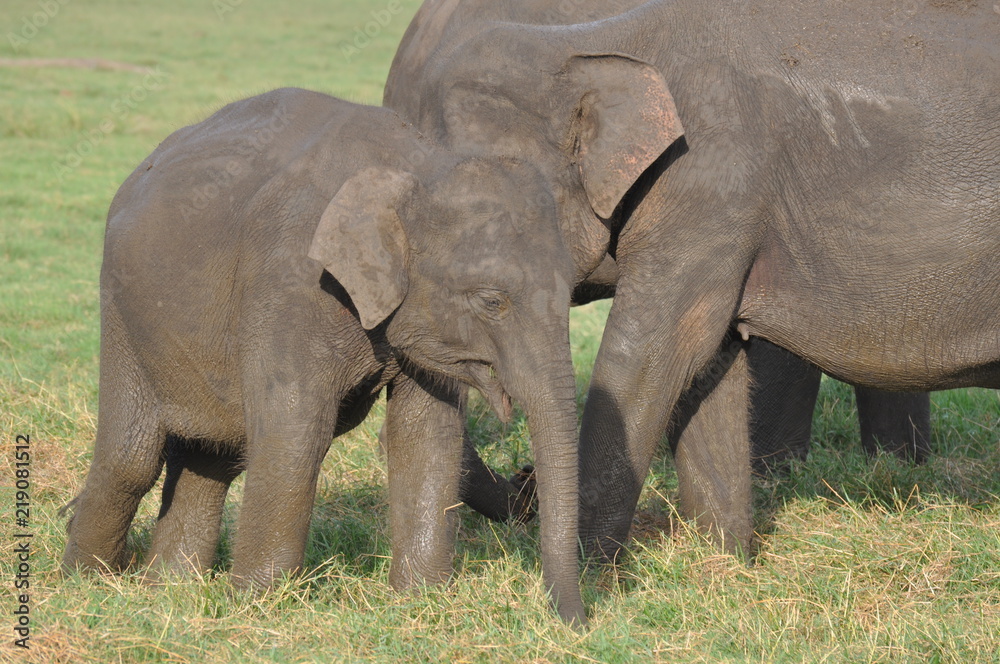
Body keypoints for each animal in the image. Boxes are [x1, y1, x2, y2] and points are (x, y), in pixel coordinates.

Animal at [61, 87, 586, 623]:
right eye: (492, 301)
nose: (578, 622)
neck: (417, 164)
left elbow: (427, 431)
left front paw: (420, 600)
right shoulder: (290, 279)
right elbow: (296, 429)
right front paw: (258, 604)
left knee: (213, 456)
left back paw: (169, 588)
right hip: (124, 316)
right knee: (132, 458)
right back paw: (91, 584)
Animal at [382, 0, 1000, 562]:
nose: (525, 482)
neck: (585, 45)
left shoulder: (709, 184)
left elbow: (651, 356)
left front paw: (586, 576)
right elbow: (707, 366)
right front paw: (723, 565)